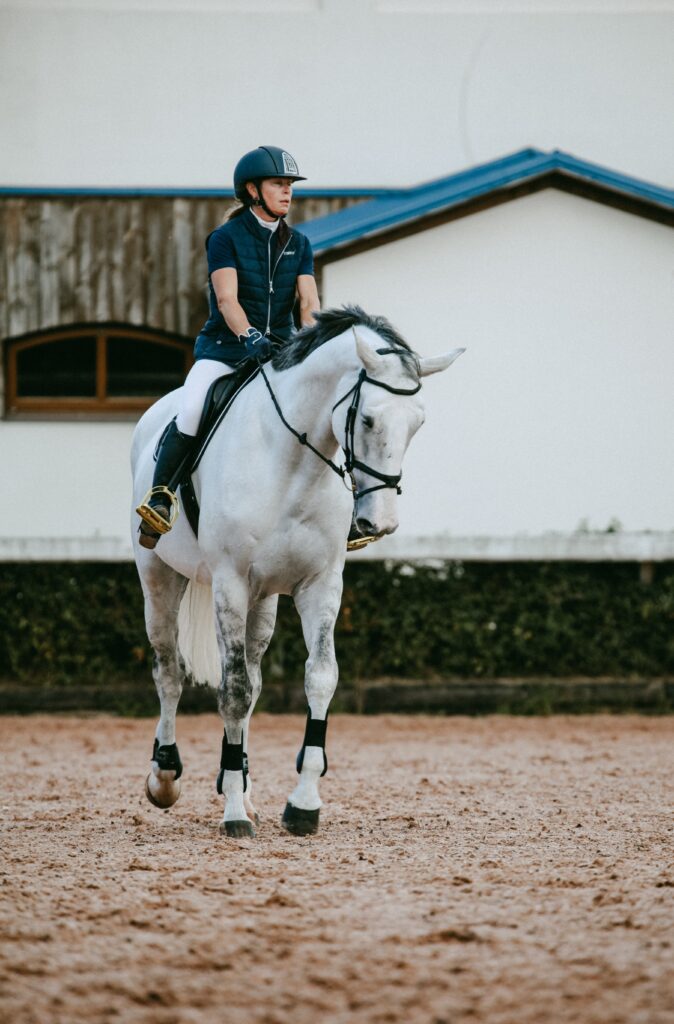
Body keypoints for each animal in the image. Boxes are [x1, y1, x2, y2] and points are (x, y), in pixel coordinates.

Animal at [128, 307, 458, 835]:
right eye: (367, 418)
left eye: (418, 423)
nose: (381, 523)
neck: (294, 462)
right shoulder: (230, 583)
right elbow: (232, 690)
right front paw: (234, 814)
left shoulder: (319, 586)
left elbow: (318, 678)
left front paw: (301, 804)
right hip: (159, 576)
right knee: (169, 671)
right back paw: (165, 777)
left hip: (263, 599)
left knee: (253, 677)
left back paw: (240, 783)